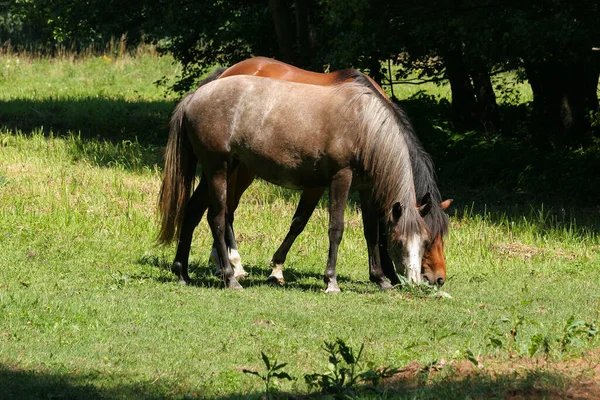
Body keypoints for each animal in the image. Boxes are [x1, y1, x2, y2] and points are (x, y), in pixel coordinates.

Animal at [164, 57, 450, 288]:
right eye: (399, 241)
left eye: (427, 240)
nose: (434, 280)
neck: (364, 125)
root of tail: (196, 96)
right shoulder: (338, 179)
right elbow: (334, 227)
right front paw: (330, 280)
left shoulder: (367, 188)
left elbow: (370, 231)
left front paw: (380, 279)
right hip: (220, 169)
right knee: (219, 216)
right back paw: (230, 275)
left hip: (226, 169)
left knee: (194, 210)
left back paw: (183, 273)